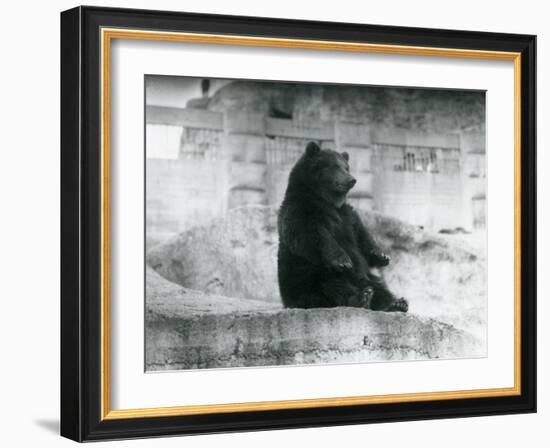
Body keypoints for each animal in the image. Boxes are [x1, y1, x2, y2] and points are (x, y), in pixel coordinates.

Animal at [278, 141, 408, 312]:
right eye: (334, 166)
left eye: (346, 167)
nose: (352, 180)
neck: (326, 200)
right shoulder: (301, 208)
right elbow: (310, 233)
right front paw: (343, 261)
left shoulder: (347, 215)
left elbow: (361, 234)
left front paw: (382, 255)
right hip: (308, 278)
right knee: (332, 285)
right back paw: (360, 298)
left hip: (364, 277)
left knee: (378, 285)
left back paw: (395, 303)